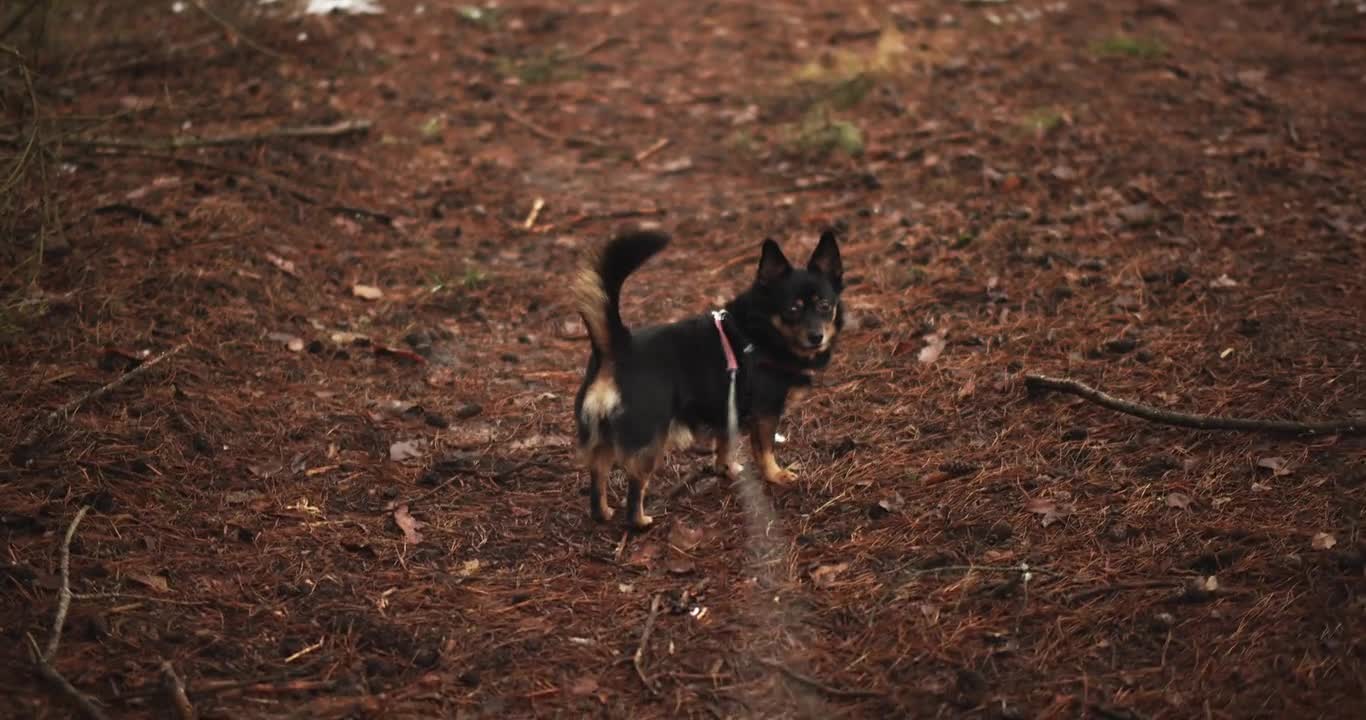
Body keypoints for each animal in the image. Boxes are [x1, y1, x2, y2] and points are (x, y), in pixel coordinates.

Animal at [568, 230, 841, 530]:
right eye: (792, 309)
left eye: (825, 306)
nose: (817, 336)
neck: (760, 332)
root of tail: (617, 348)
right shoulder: (766, 413)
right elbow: (765, 450)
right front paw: (776, 475)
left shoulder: (728, 410)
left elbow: (724, 445)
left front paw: (726, 469)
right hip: (649, 441)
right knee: (635, 489)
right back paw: (641, 521)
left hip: (601, 438)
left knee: (598, 476)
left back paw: (603, 513)